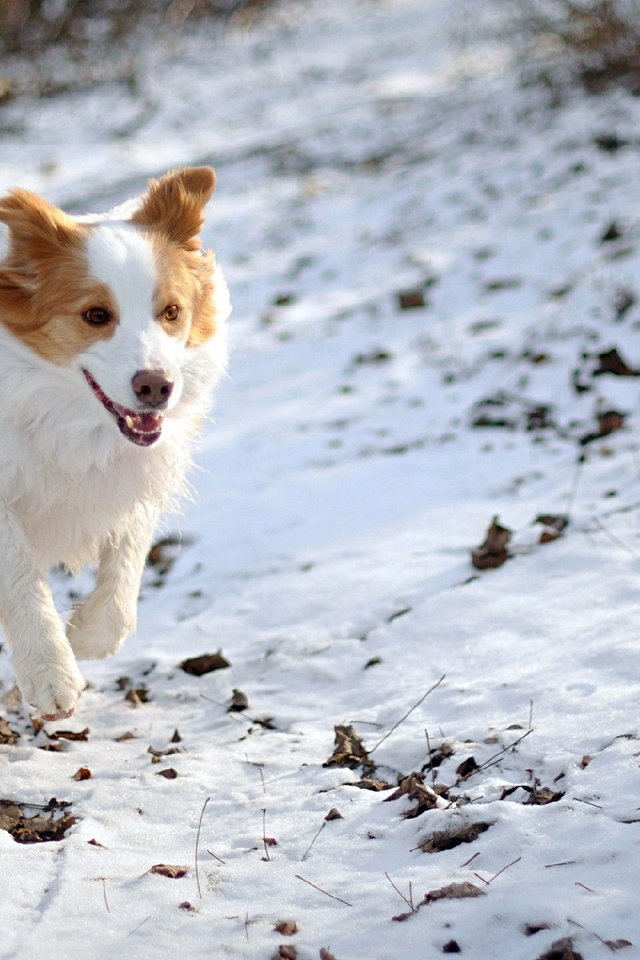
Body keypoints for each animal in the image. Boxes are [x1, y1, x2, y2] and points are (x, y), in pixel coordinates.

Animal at [0, 167, 231, 720]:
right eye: (95, 315)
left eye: (172, 311)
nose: (156, 387)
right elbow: (19, 573)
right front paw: (50, 674)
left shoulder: (136, 470)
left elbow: (126, 567)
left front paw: (82, 638)